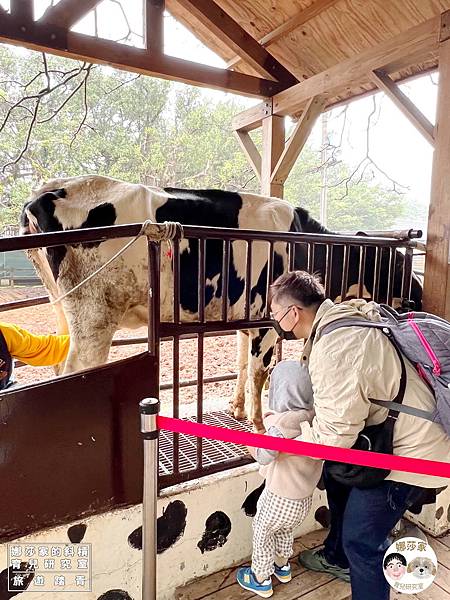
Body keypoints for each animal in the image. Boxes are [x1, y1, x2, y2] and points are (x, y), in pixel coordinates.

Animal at [20, 173, 422, 432]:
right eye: (401, 264)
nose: (417, 295)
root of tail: (45, 191)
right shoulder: (266, 319)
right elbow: (259, 370)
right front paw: (259, 424)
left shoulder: (244, 317)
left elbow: (242, 363)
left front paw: (238, 409)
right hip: (94, 314)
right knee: (76, 369)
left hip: (65, 309)